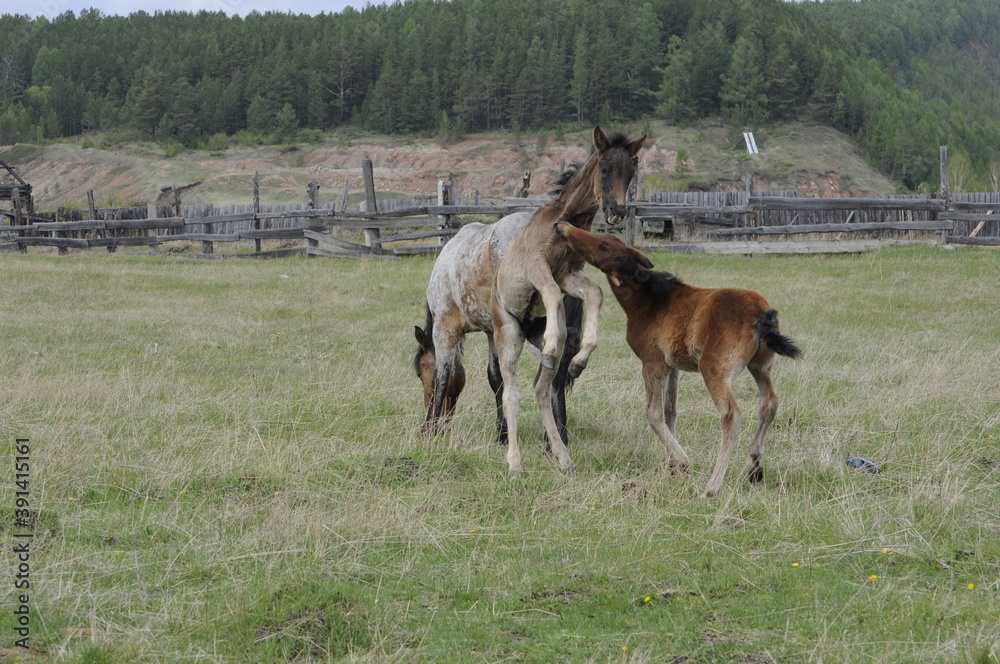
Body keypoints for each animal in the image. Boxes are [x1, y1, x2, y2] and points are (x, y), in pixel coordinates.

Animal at [414, 209, 584, 444]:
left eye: (420, 373)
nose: (444, 425)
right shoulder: (492, 331)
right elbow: (495, 377)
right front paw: (502, 432)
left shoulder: (444, 328)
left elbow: (442, 375)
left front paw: (428, 428)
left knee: (552, 379)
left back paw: (554, 438)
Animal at [491, 126, 646, 475]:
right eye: (605, 168)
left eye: (632, 173)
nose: (617, 212)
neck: (561, 221)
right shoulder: (538, 267)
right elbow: (550, 293)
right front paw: (553, 344)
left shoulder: (570, 276)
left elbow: (596, 294)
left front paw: (579, 361)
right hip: (507, 336)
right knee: (511, 394)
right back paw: (515, 463)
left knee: (542, 390)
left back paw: (563, 458)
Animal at [553, 222, 802, 497]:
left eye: (603, 246)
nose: (563, 227)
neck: (650, 303)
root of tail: (761, 313)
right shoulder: (673, 367)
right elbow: (670, 412)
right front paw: (672, 467)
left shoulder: (652, 363)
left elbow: (653, 414)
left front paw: (682, 462)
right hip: (760, 367)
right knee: (768, 404)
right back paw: (754, 466)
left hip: (714, 369)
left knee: (731, 415)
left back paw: (712, 487)